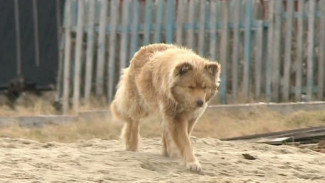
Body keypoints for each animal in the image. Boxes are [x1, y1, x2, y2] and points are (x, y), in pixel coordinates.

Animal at [110, 43, 220, 172]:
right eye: (190, 87)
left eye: (204, 87)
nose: (200, 102)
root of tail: (145, 47)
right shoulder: (176, 117)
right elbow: (185, 141)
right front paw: (192, 162)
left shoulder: (190, 118)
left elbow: (183, 137)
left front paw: (177, 152)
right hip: (140, 104)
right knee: (133, 122)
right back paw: (132, 144)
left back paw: (166, 151)